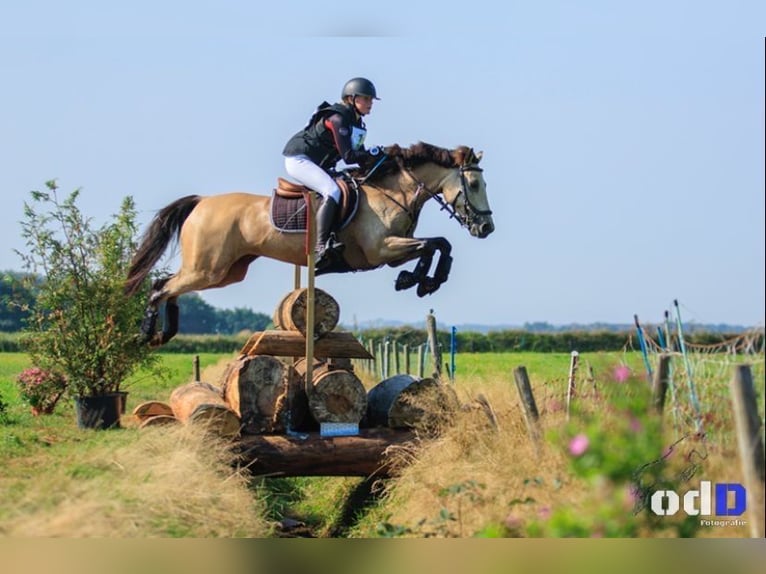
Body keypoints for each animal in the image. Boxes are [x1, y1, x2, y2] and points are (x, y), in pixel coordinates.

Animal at [124, 142, 498, 346]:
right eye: (474, 184)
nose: (486, 228)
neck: (393, 192)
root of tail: (201, 202)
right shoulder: (382, 249)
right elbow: (435, 244)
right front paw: (419, 280)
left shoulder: (391, 252)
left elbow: (438, 245)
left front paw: (420, 281)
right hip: (207, 268)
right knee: (160, 287)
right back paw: (147, 332)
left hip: (225, 272)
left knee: (169, 286)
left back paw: (164, 333)